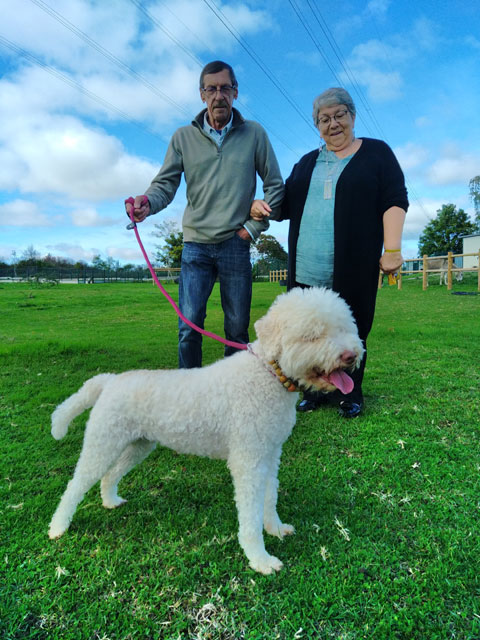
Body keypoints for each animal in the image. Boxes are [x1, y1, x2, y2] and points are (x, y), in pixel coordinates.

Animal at [49, 286, 364, 576]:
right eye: (312, 336)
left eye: (344, 327)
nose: (351, 355)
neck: (269, 375)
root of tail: (109, 381)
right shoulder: (247, 461)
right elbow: (249, 514)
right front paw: (260, 559)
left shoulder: (269, 453)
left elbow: (270, 496)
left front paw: (275, 528)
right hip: (103, 442)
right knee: (75, 485)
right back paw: (58, 527)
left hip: (138, 445)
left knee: (109, 475)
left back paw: (110, 501)